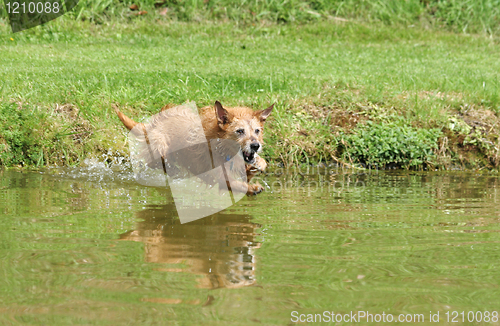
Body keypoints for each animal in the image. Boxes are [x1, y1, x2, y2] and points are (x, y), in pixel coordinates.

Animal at [114, 100, 274, 195]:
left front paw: (259, 163)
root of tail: (150, 126)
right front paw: (252, 188)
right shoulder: (216, 175)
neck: (219, 144)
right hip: (159, 145)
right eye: (240, 131)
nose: (255, 145)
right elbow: (235, 184)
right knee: (155, 162)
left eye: (257, 131)